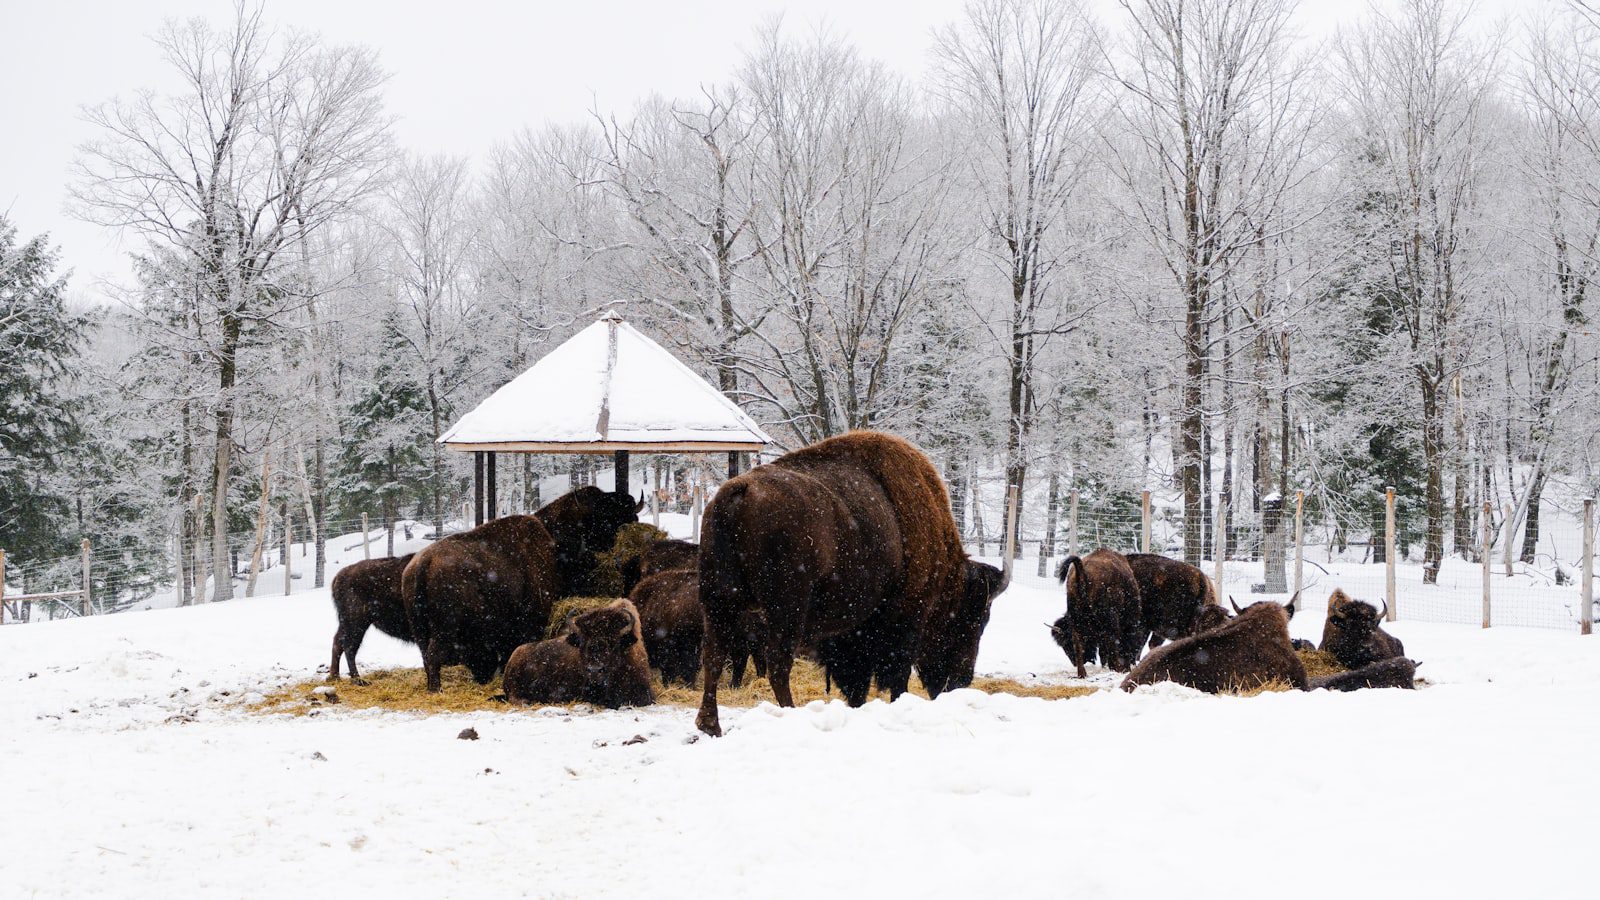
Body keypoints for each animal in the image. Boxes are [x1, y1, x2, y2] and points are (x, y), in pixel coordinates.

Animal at [403, 483, 640, 685]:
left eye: (632, 518)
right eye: (604, 521)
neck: (555, 542)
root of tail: (423, 563)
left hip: (420, 630)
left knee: (426, 656)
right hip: (445, 630)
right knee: (433, 656)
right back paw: (437, 689)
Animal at [694, 429, 1004, 736]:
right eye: (974, 620)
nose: (961, 680)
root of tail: (740, 490)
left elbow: (856, 679)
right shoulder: (906, 618)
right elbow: (896, 674)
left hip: (717, 600)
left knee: (713, 654)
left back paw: (710, 725)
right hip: (785, 610)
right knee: (777, 664)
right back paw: (790, 714)